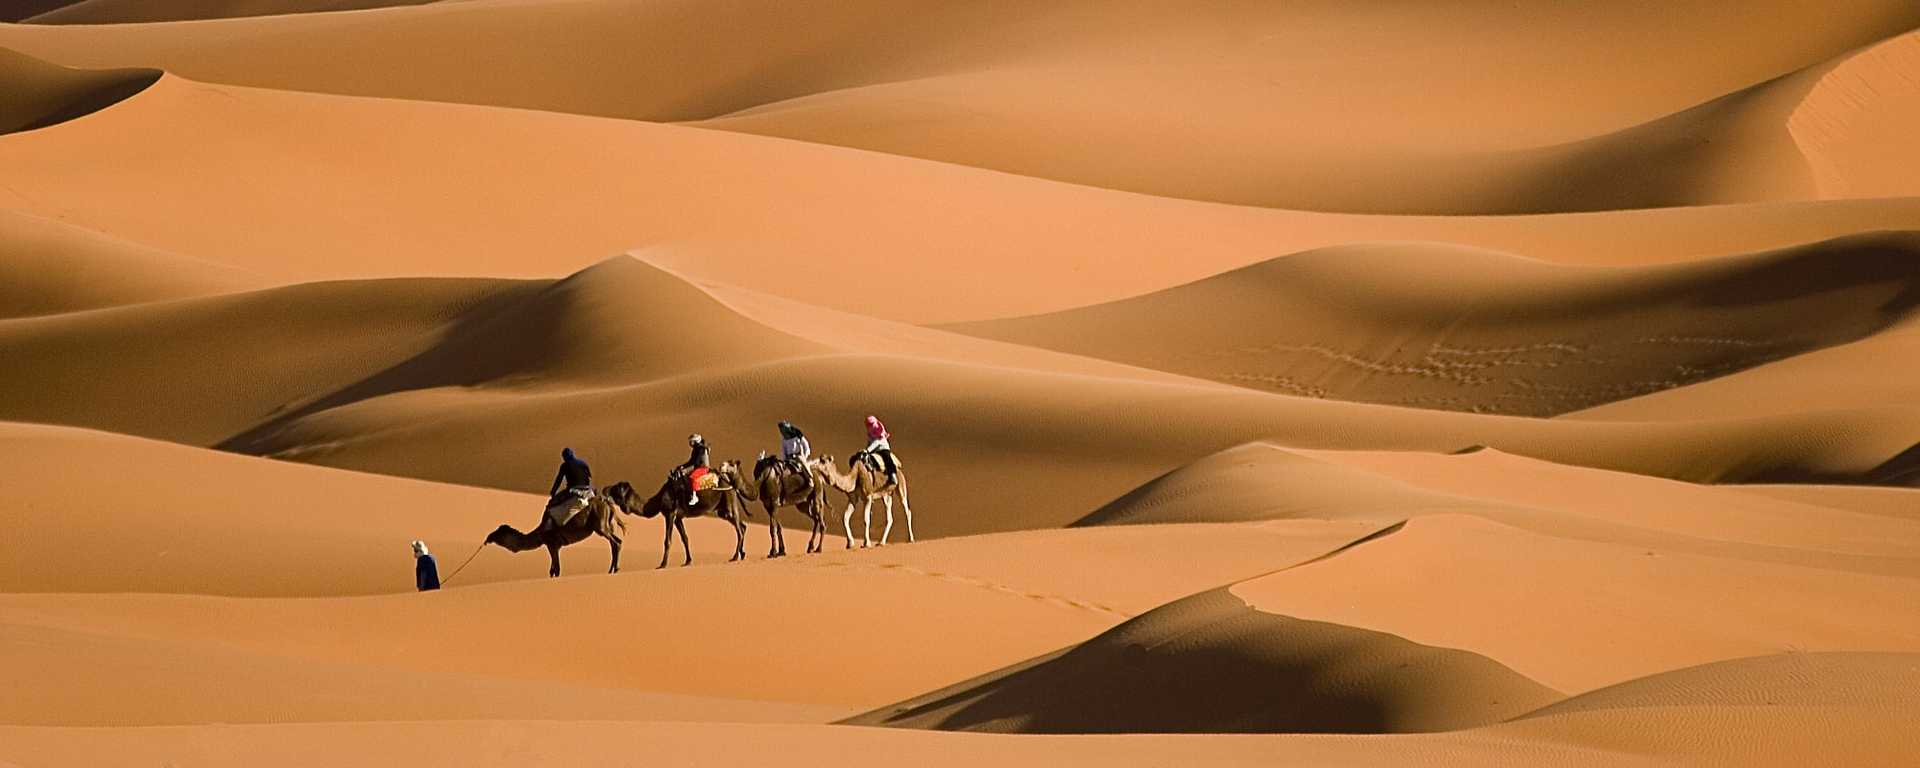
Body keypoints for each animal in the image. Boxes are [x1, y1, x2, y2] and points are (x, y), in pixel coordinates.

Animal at [483, 480, 648, 576]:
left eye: (498, 533)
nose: (487, 538)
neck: (539, 532)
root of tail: (608, 503)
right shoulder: (555, 546)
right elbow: (552, 570)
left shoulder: (552, 543)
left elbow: (556, 570)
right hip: (608, 523)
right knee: (616, 542)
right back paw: (613, 570)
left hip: (600, 525)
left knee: (615, 542)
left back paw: (613, 570)